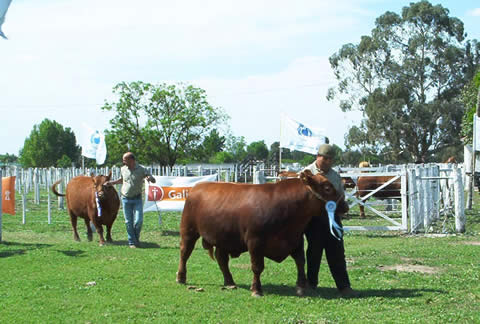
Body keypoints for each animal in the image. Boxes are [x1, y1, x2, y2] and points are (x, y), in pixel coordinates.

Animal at [176, 171, 344, 298]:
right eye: (327, 187)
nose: (345, 205)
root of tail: (198, 186)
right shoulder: (255, 242)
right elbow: (257, 267)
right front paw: (256, 289)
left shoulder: (296, 240)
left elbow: (300, 262)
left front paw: (301, 286)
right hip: (188, 231)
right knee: (185, 252)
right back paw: (181, 277)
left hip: (223, 237)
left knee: (222, 259)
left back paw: (230, 282)